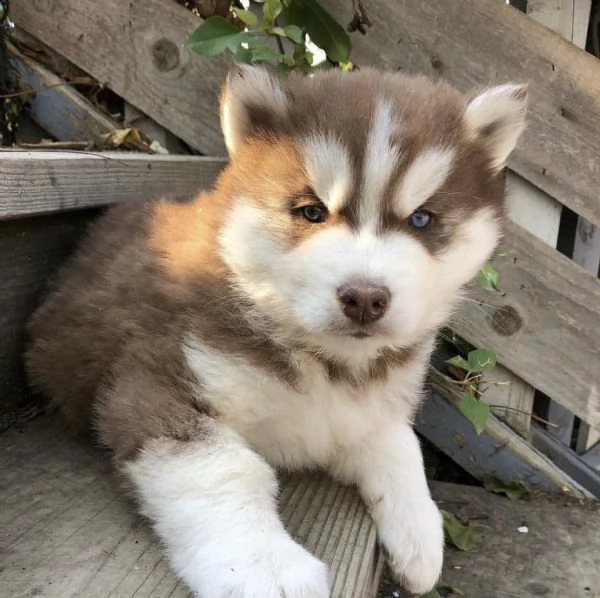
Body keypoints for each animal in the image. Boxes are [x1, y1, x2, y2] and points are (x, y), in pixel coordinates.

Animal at [25, 67, 528, 598]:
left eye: (421, 219)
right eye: (312, 211)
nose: (364, 298)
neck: (324, 362)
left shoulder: (360, 414)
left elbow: (400, 445)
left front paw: (421, 535)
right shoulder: (158, 379)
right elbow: (225, 468)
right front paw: (264, 566)